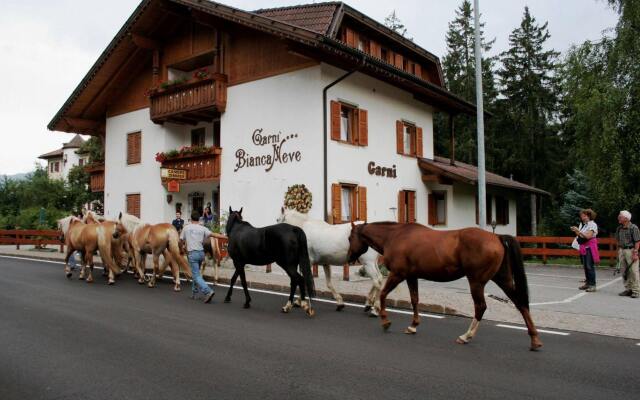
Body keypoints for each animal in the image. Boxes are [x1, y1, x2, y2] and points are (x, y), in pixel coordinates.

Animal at [348, 222, 544, 350]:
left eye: (350, 238)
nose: (350, 257)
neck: (395, 236)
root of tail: (496, 237)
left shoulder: (398, 274)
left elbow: (383, 294)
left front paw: (385, 320)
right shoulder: (411, 276)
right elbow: (414, 300)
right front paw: (413, 326)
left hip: (477, 282)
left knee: (481, 307)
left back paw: (466, 336)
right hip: (502, 279)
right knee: (520, 303)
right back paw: (534, 339)